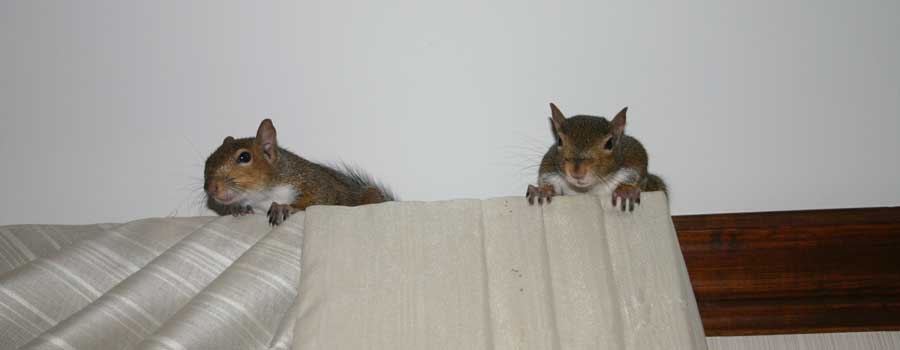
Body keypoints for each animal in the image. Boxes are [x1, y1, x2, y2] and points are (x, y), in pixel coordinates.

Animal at [204, 119, 394, 226]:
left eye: (244, 157)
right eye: (207, 160)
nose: (211, 188)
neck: (263, 197)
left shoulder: (315, 182)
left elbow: (317, 199)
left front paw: (283, 207)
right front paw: (238, 208)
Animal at [524, 101, 664, 211]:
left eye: (610, 143)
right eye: (559, 140)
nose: (577, 171)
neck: (587, 190)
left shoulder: (634, 153)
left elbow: (637, 170)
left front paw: (626, 190)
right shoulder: (549, 164)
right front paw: (543, 191)